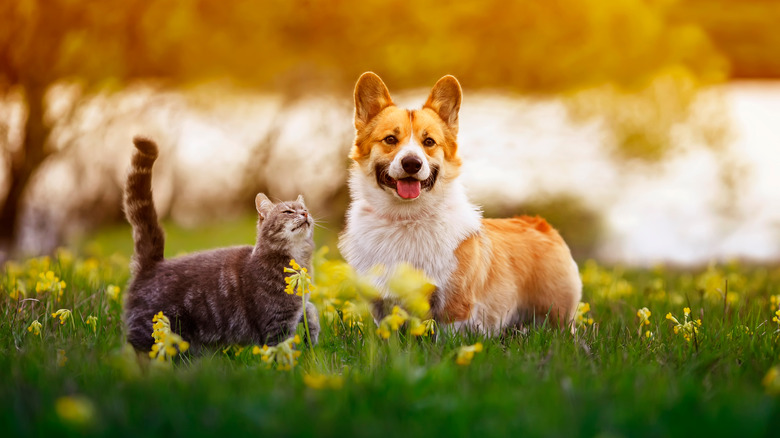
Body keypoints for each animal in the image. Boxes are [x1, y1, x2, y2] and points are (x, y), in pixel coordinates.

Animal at [123, 137, 318, 352]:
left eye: (305, 209)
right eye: (288, 212)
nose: (305, 214)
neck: (296, 259)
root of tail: (152, 264)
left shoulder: (298, 308)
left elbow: (311, 310)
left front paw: (312, 335)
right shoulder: (276, 323)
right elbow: (284, 349)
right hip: (152, 333)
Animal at [338, 72, 580, 334]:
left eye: (429, 142)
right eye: (390, 139)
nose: (412, 163)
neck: (406, 218)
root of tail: (541, 225)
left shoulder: (453, 306)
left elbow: (446, 336)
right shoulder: (381, 306)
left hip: (556, 316)